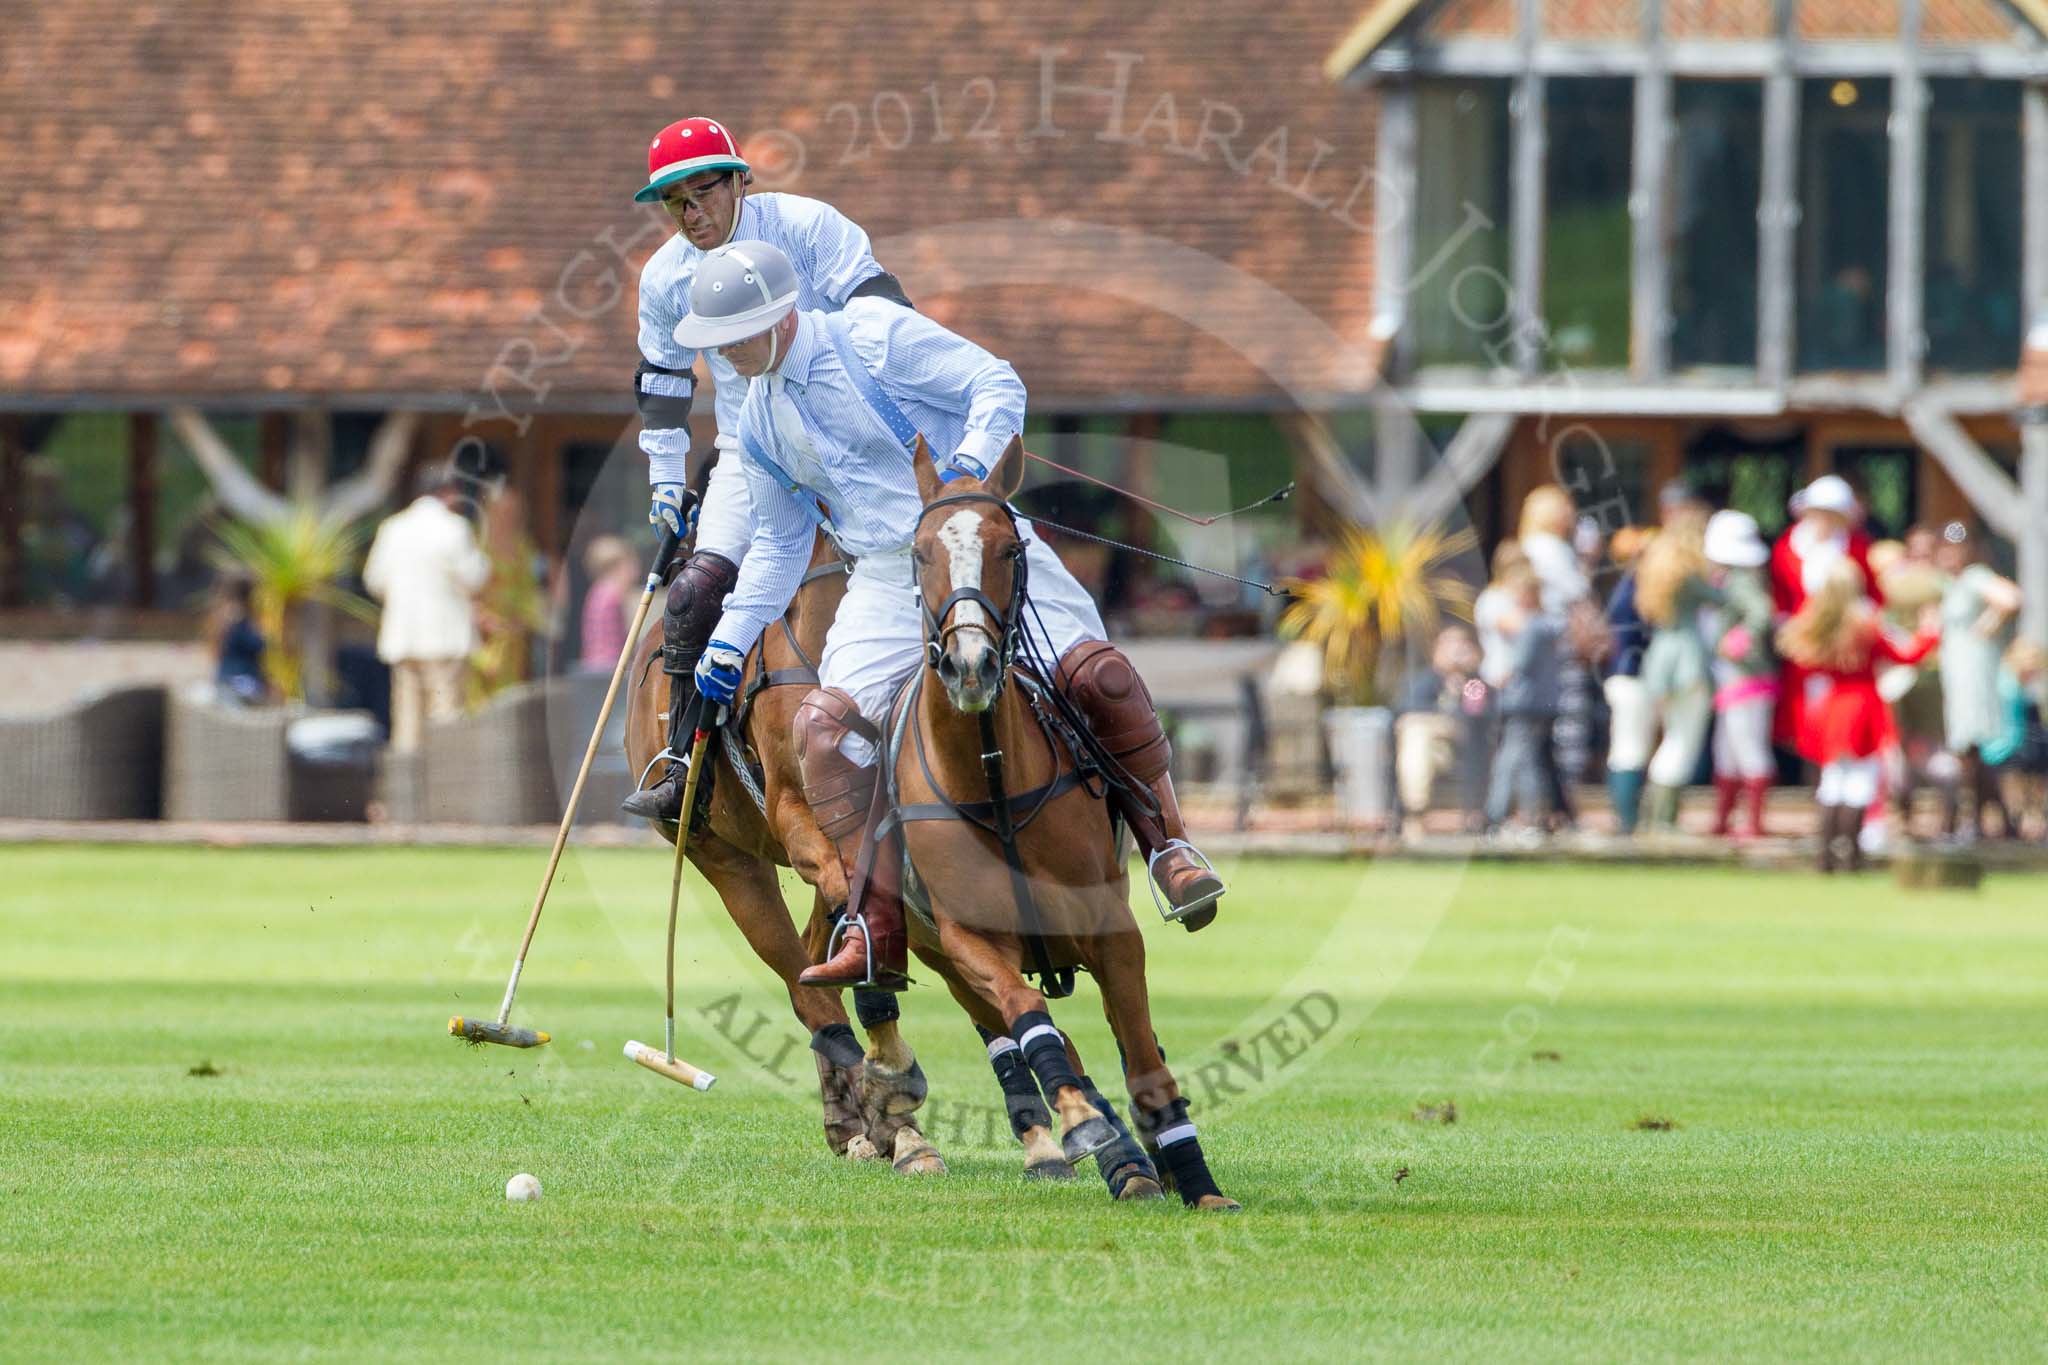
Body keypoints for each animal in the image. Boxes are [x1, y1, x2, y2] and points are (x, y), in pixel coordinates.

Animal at [892, 435, 1236, 1203]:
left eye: (1011, 547)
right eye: (920, 551)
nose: (969, 666)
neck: (990, 778)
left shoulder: (1112, 929)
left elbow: (1143, 1055)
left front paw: (1198, 1181)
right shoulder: (966, 937)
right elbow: (1028, 1014)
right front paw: (1082, 1123)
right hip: (935, 953)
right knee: (1021, 1027)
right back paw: (1102, 1147)